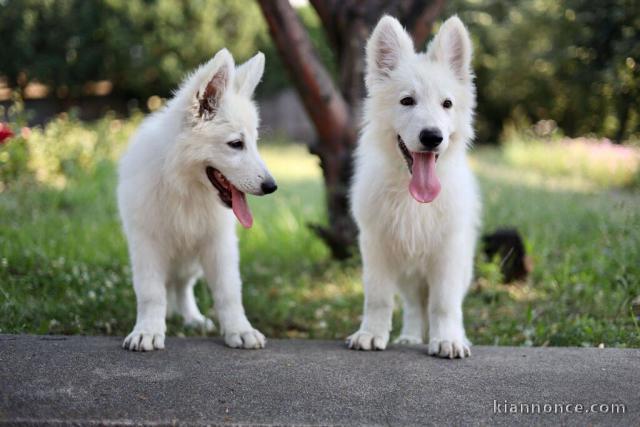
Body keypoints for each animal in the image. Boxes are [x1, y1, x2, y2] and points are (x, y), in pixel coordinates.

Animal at [118, 49, 278, 352]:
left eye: (254, 142)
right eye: (236, 144)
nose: (272, 186)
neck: (184, 187)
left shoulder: (219, 243)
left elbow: (229, 292)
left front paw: (240, 330)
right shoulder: (146, 243)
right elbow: (151, 292)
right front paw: (147, 330)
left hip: (192, 259)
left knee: (182, 286)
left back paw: (192, 318)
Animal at [344, 15, 480, 358]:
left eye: (447, 104)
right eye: (407, 101)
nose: (432, 137)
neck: (412, 196)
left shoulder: (448, 252)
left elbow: (444, 304)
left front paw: (448, 339)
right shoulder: (377, 245)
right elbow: (378, 298)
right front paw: (371, 334)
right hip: (407, 271)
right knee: (414, 305)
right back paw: (409, 336)